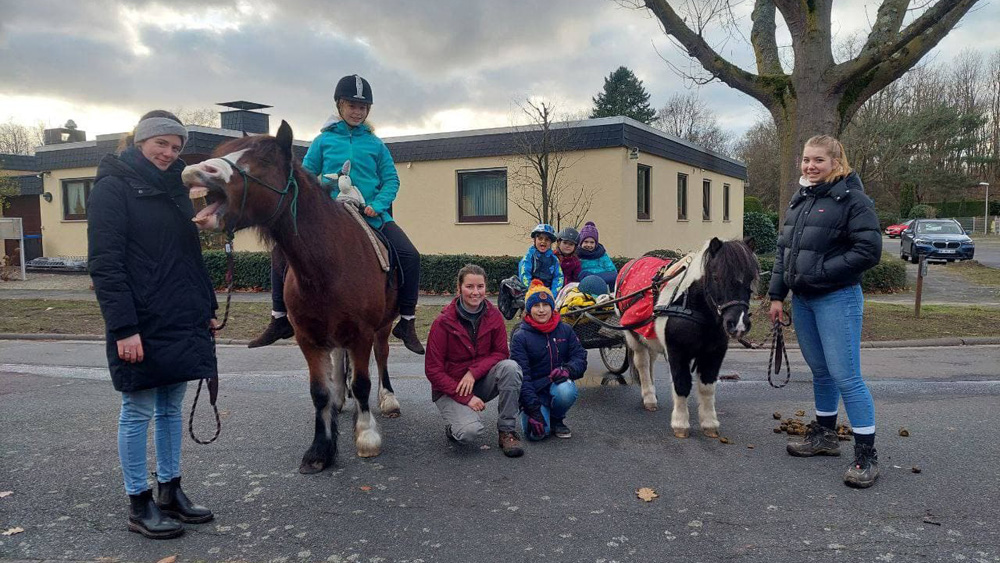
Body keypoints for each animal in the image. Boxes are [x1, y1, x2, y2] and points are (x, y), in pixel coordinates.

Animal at [182, 121, 400, 474]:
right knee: (339, 363)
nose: (194, 171)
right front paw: (321, 448)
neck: (330, 265)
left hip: (381, 328)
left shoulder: (362, 333)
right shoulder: (307, 338)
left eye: (264, 160)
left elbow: (363, 384)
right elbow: (319, 392)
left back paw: (387, 399)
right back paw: (342, 399)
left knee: (380, 358)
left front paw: (366, 436)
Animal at [620, 238, 752, 440]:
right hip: (632, 336)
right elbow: (681, 384)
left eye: (750, 279)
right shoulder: (677, 352)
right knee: (642, 363)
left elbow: (707, 387)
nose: (738, 324)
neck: (687, 304)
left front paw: (709, 423)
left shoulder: (714, 354)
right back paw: (649, 397)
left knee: (650, 362)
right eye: (716, 277)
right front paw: (680, 424)